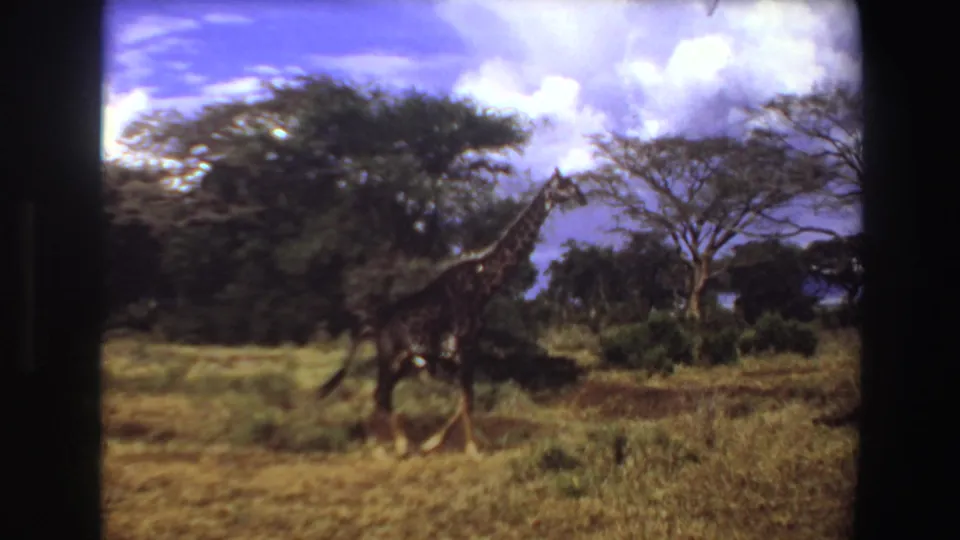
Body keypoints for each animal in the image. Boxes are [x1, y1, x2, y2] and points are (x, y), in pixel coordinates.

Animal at [316, 168, 587, 458]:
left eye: (573, 184)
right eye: (563, 185)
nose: (582, 197)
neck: (483, 287)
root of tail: (374, 325)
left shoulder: (466, 351)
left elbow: (465, 400)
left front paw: (435, 443)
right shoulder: (465, 349)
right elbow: (467, 400)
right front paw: (468, 448)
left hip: (404, 361)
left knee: (380, 396)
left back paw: (383, 444)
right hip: (390, 357)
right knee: (381, 395)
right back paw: (392, 446)